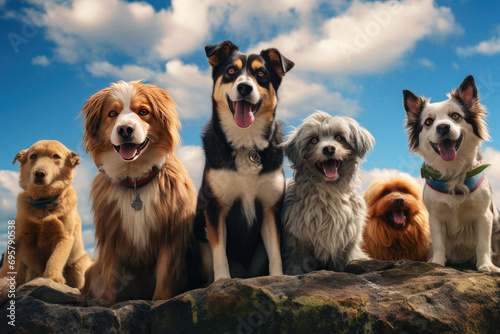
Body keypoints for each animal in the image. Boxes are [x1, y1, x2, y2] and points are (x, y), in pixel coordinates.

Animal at [0, 140, 91, 288]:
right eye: (33, 156)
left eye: (56, 157)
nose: (39, 173)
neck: (43, 203)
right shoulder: (19, 236)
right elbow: (9, 261)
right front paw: (2, 277)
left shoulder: (64, 237)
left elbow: (56, 258)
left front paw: (53, 278)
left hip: (78, 268)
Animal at [80, 81, 195, 302]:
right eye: (112, 113)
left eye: (143, 112)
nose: (125, 129)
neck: (135, 181)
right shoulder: (110, 233)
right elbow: (111, 272)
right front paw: (106, 300)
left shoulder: (171, 232)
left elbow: (165, 273)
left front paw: (160, 300)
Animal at [192, 39, 292, 280]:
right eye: (231, 71)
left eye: (261, 74)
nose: (244, 87)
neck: (246, 144)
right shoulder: (215, 208)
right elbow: (220, 253)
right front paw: (222, 281)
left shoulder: (270, 208)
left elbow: (275, 252)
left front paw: (277, 278)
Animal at [282, 111, 376, 272]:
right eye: (313, 140)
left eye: (338, 137)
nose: (329, 148)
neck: (329, 191)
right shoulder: (297, 244)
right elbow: (297, 266)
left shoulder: (346, 246)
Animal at [402, 75, 500, 272]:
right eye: (429, 122)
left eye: (455, 116)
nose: (443, 127)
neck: (453, 172)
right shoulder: (435, 217)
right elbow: (439, 243)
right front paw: (437, 262)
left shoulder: (484, 215)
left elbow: (483, 244)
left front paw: (486, 265)